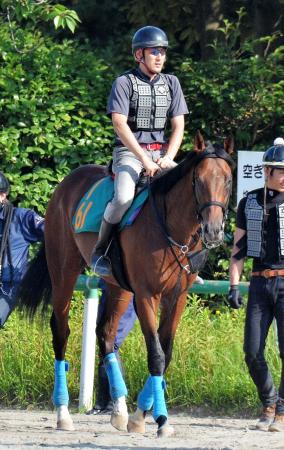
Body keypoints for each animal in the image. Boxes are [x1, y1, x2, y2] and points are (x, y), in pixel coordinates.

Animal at [17, 132, 233, 438]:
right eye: (198, 181)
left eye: (227, 180)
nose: (213, 231)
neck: (170, 227)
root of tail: (66, 183)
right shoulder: (146, 296)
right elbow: (155, 354)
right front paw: (158, 419)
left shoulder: (177, 296)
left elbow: (165, 353)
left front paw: (140, 414)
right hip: (64, 272)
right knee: (61, 332)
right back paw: (63, 413)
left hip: (118, 287)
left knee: (106, 334)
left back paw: (118, 410)